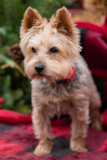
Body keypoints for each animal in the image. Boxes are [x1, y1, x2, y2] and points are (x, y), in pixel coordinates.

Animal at [19, 6, 102, 156]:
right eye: (33, 49)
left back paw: (97, 126)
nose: (38, 67)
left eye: (53, 49)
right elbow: (43, 130)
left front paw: (78, 148)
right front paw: (43, 149)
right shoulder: (40, 109)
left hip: (93, 95)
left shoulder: (80, 107)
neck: (56, 81)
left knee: (95, 109)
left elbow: (79, 130)